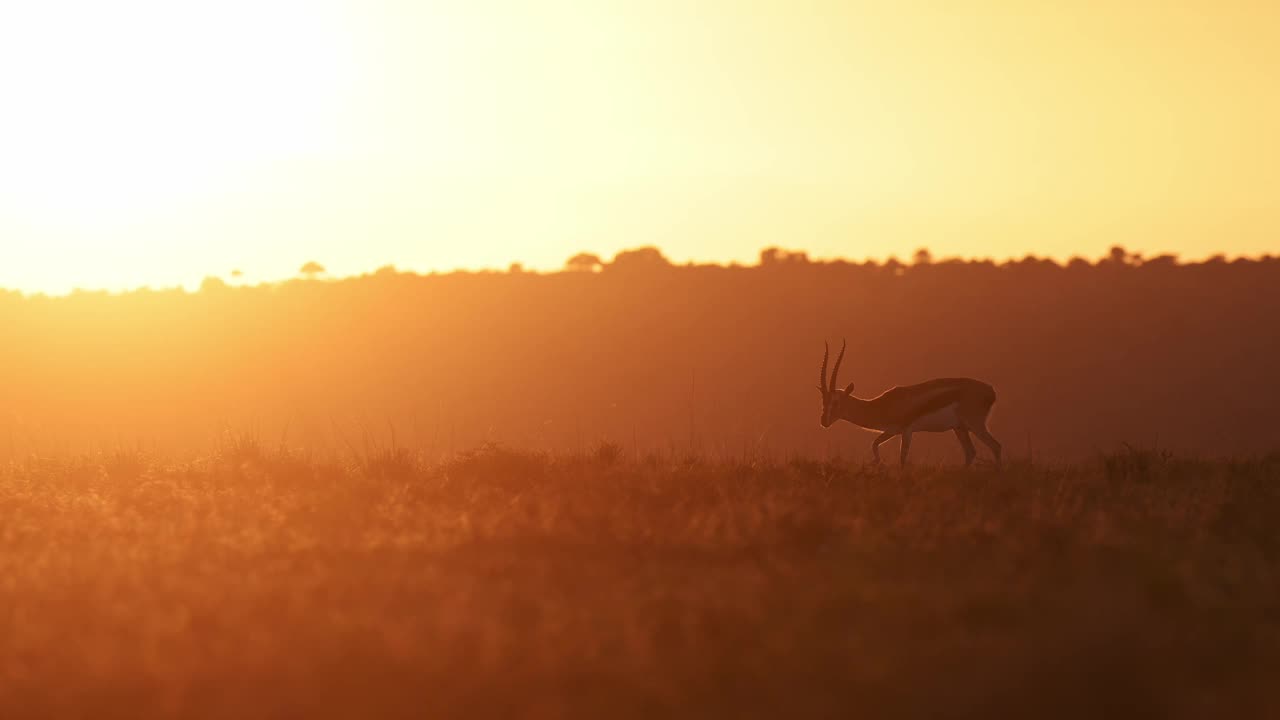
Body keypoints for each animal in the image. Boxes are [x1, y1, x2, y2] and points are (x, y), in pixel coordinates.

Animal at [814, 338, 1003, 466]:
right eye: (823, 400)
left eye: (836, 401)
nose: (824, 421)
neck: (882, 405)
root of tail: (990, 390)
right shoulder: (892, 431)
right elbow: (874, 444)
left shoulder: (906, 431)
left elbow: (902, 458)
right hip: (960, 428)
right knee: (970, 453)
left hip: (975, 424)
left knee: (996, 446)